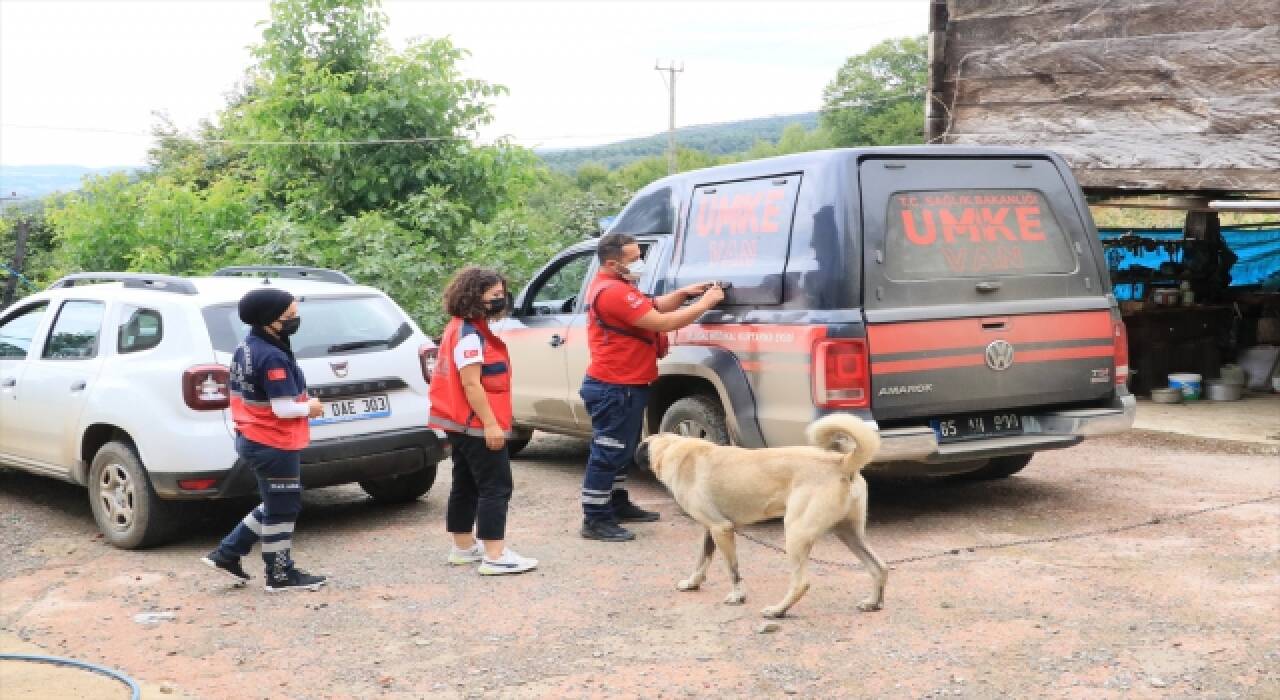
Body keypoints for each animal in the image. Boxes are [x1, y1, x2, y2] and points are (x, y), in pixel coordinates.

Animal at [634, 414, 885, 621]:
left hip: (796, 534)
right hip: (848, 533)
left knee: (801, 583)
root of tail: (841, 462)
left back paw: (778, 611)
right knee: (879, 567)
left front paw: (737, 596)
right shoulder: (710, 529)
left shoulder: (721, 528)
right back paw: (873, 603)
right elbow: (701, 560)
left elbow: (732, 569)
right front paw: (692, 583)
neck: (672, 448)